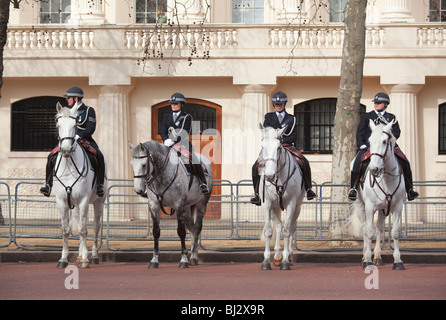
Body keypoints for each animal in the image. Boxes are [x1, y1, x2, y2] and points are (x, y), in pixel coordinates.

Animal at [53, 102, 106, 268]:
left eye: (75, 124)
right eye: (57, 124)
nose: (65, 149)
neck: (68, 165)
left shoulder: (83, 200)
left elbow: (83, 230)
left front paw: (85, 260)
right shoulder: (62, 201)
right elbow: (65, 230)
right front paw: (63, 259)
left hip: (98, 202)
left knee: (95, 227)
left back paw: (93, 256)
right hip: (75, 205)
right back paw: (81, 254)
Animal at [258, 125, 306, 270]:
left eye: (279, 147)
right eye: (262, 146)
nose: (269, 176)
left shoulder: (291, 204)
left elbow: (287, 231)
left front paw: (285, 261)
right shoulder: (266, 204)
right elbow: (269, 231)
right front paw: (266, 261)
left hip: (297, 207)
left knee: (291, 227)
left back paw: (288, 255)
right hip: (274, 207)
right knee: (278, 225)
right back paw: (277, 255)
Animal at [354, 119, 406, 270]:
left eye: (384, 141)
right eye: (370, 141)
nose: (373, 169)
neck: (387, 179)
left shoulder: (397, 207)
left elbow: (395, 233)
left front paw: (398, 261)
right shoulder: (369, 207)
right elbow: (369, 232)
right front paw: (367, 260)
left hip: (383, 209)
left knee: (379, 228)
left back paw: (377, 256)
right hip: (360, 206)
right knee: (365, 229)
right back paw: (365, 256)